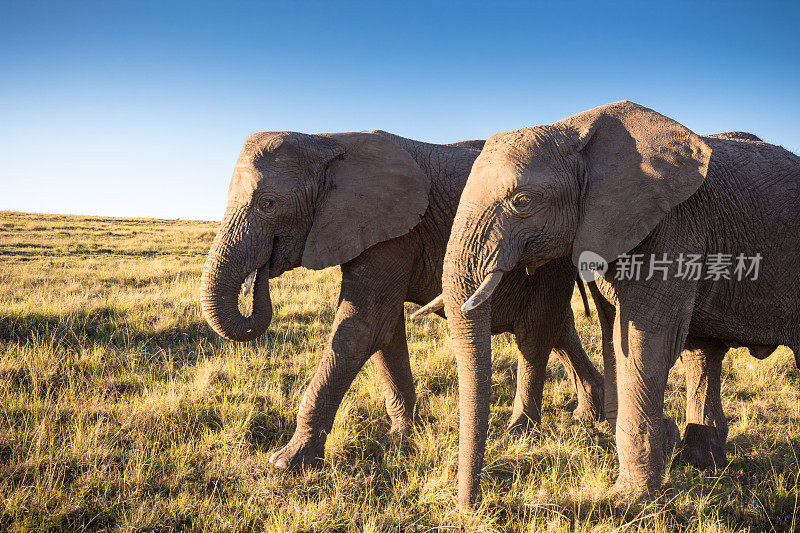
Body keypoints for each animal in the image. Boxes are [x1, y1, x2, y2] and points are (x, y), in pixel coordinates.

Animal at [198, 129, 600, 470]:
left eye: (267, 204)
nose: (262, 268)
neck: (325, 141)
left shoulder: (395, 232)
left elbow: (364, 326)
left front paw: (286, 463)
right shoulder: (378, 229)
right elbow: (385, 329)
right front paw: (399, 438)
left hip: (551, 251)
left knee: (535, 331)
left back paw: (527, 430)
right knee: (558, 329)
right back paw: (591, 414)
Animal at [438, 101, 800, 508]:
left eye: (523, 201)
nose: (473, 507)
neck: (574, 130)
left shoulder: (674, 224)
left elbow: (646, 342)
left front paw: (633, 501)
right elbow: (617, 334)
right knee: (702, 353)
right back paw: (700, 464)